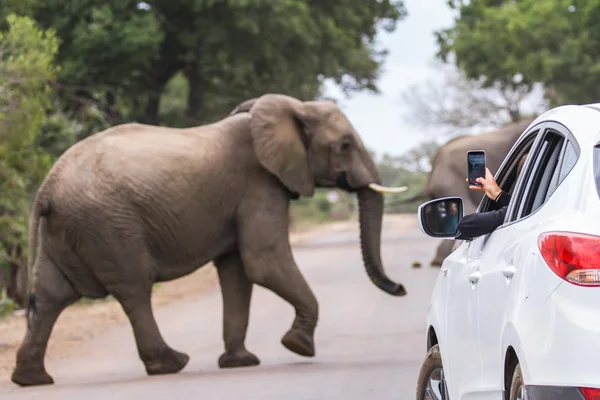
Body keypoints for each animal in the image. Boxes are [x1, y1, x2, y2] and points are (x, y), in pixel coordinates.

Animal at [10, 92, 408, 386]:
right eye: (345, 145)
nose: (402, 288)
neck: (290, 108)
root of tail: (46, 188)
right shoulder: (258, 184)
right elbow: (264, 262)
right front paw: (298, 347)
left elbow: (238, 272)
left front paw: (241, 363)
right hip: (108, 226)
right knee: (134, 289)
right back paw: (170, 364)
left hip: (68, 229)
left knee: (50, 295)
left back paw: (32, 379)